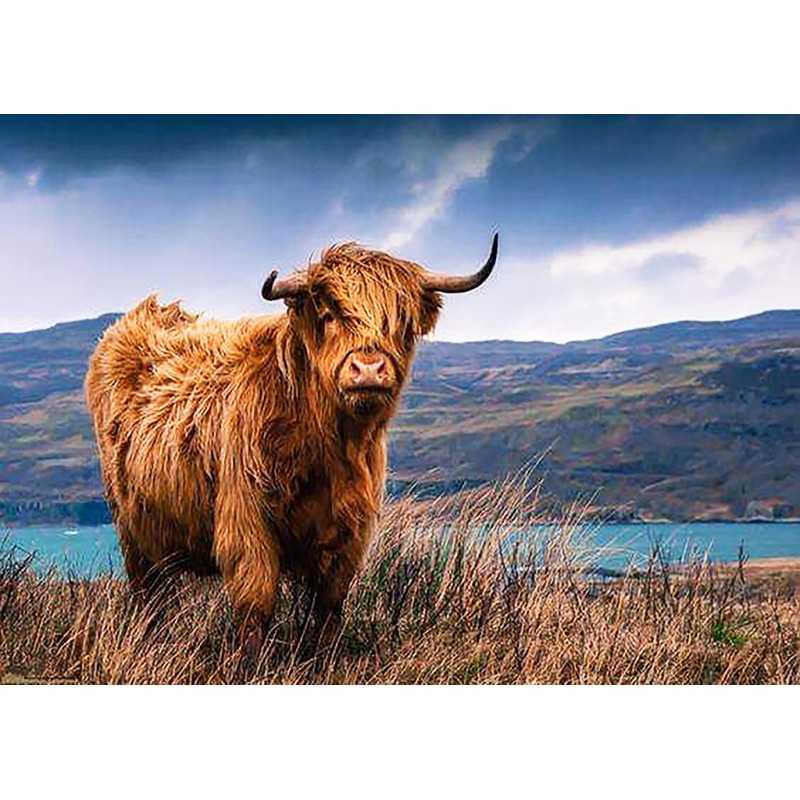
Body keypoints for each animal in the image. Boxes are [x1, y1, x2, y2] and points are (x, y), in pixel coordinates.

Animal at [85, 234, 498, 646]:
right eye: (329, 314)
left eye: (402, 321)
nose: (368, 369)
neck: (327, 446)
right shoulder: (247, 525)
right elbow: (255, 610)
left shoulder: (348, 535)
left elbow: (329, 610)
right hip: (133, 531)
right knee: (149, 596)